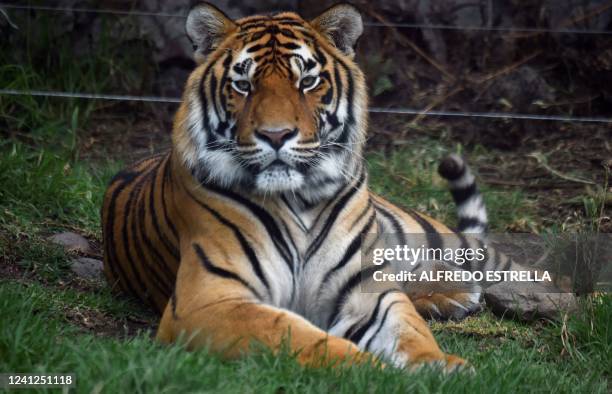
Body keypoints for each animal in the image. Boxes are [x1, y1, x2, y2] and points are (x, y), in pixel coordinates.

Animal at [101, 3, 524, 372]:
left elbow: (409, 330)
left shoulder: (366, 290)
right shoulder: (207, 301)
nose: (276, 135)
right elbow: (297, 334)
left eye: (307, 82)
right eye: (243, 85)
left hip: (431, 236)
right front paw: (375, 371)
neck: (299, 198)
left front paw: (438, 366)